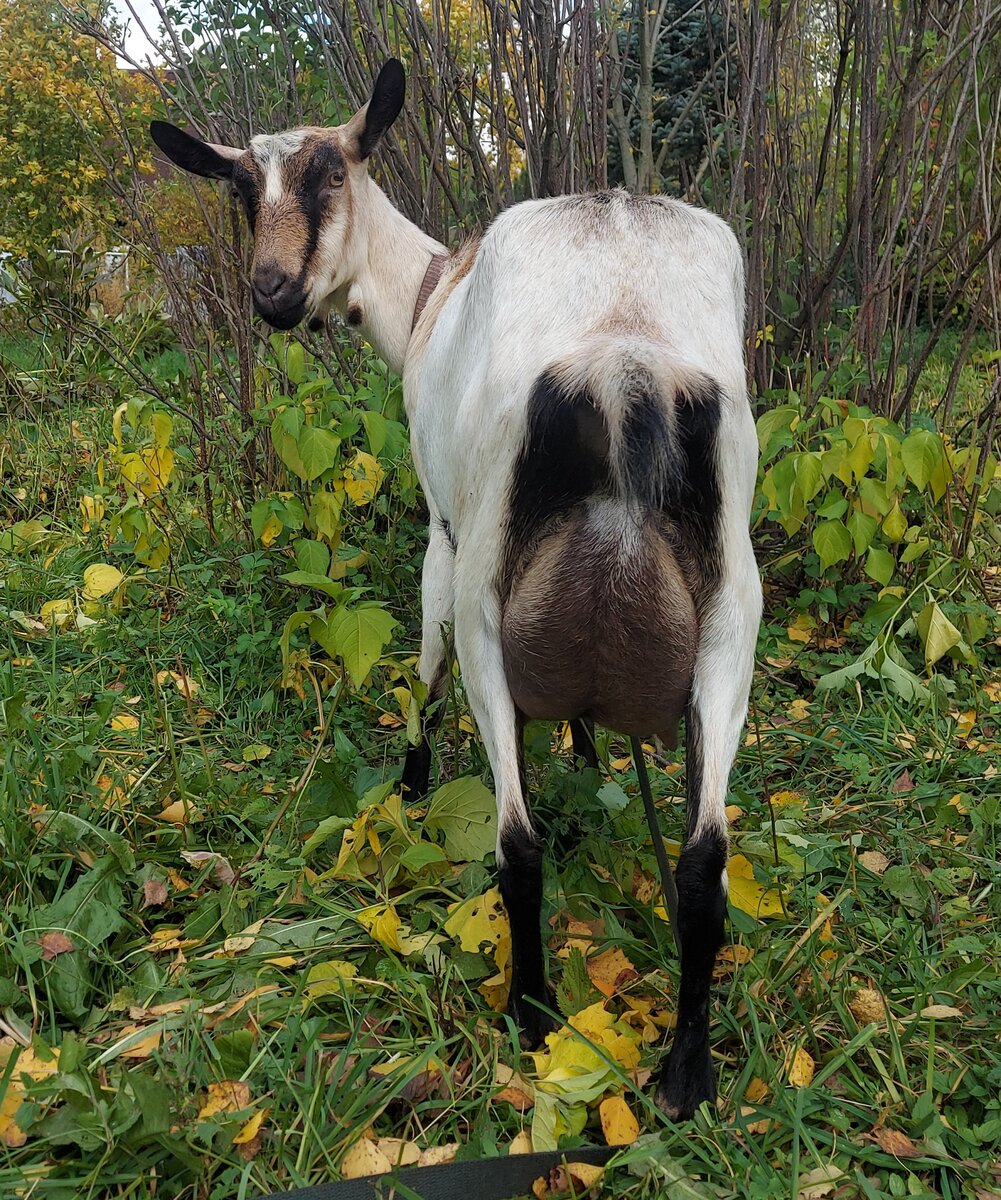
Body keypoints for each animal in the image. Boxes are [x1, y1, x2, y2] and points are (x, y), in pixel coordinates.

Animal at [148, 60, 758, 1118]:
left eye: (329, 176)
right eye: (238, 191)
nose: (273, 295)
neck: (431, 296)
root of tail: (626, 360)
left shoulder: (441, 527)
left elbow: (420, 660)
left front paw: (411, 776)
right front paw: (586, 748)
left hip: (487, 596)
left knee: (516, 843)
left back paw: (531, 1011)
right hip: (731, 615)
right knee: (701, 863)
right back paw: (685, 1067)